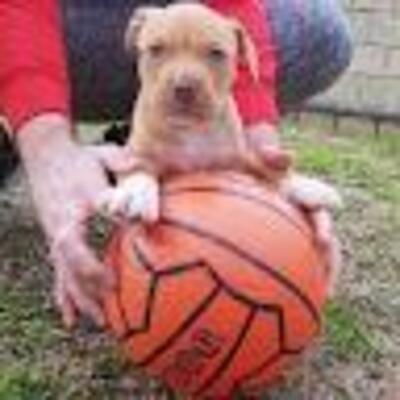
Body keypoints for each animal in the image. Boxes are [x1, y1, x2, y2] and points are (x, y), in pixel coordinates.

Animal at [100, 3, 341, 222]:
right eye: (156, 49)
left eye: (216, 53)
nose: (184, 88)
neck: (191, 130)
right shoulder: (132, 152)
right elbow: (139, 164)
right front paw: (135, 191)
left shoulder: (239, 159)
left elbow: (266, 169)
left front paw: (305, 185)